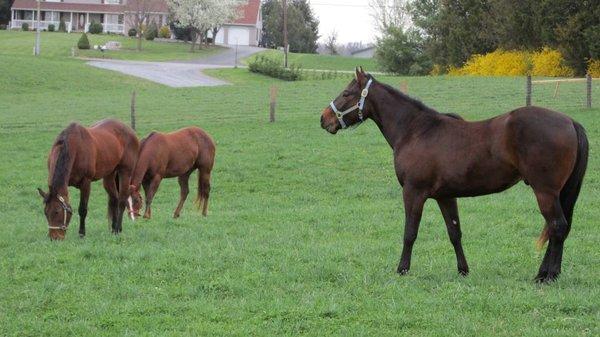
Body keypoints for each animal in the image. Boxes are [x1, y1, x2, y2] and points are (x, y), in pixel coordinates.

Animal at [322, 67, 588, 280]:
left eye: (346, 93)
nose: (324, 119)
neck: (416, 131)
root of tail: (570, 122)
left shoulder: (413, 193)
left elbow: (410, 233)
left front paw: (402, 269)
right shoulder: (445, 196)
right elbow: (454, 232)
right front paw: (463, 270)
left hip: (545, 192)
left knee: (557, 227)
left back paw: (549, 275)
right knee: (558, 228)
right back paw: (544, 272)